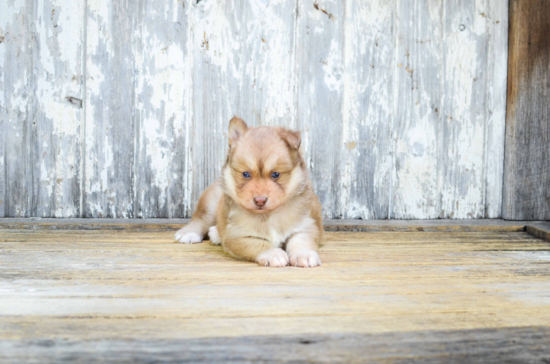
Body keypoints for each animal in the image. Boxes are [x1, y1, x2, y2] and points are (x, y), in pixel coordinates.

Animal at [176, 116, 324, 268]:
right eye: (246, 174)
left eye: (275, 174)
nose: (260, 200)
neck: (268, 215)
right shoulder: (237, 235)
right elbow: (258, 243)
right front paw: (273, 253)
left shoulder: (306, 225)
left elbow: (301, 241)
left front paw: (304, 254)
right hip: (211, 203)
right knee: (200, 219)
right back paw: (191, 233)